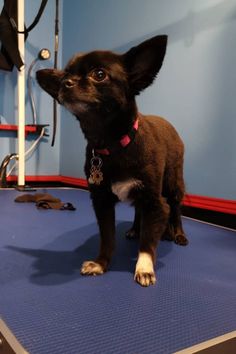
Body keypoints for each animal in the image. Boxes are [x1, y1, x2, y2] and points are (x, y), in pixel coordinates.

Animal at [36, 34, 188, 286]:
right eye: (65, 75)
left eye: (99, 74)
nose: (66, 83)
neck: (111, 145)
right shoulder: (102, 201)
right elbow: (107, 237)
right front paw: (101, 263)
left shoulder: (155, 202)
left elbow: (149, 239)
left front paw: (144, 267)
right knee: (138, 211)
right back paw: (135, 229)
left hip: (173, 183)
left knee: (175, 209)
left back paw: (178, 234)